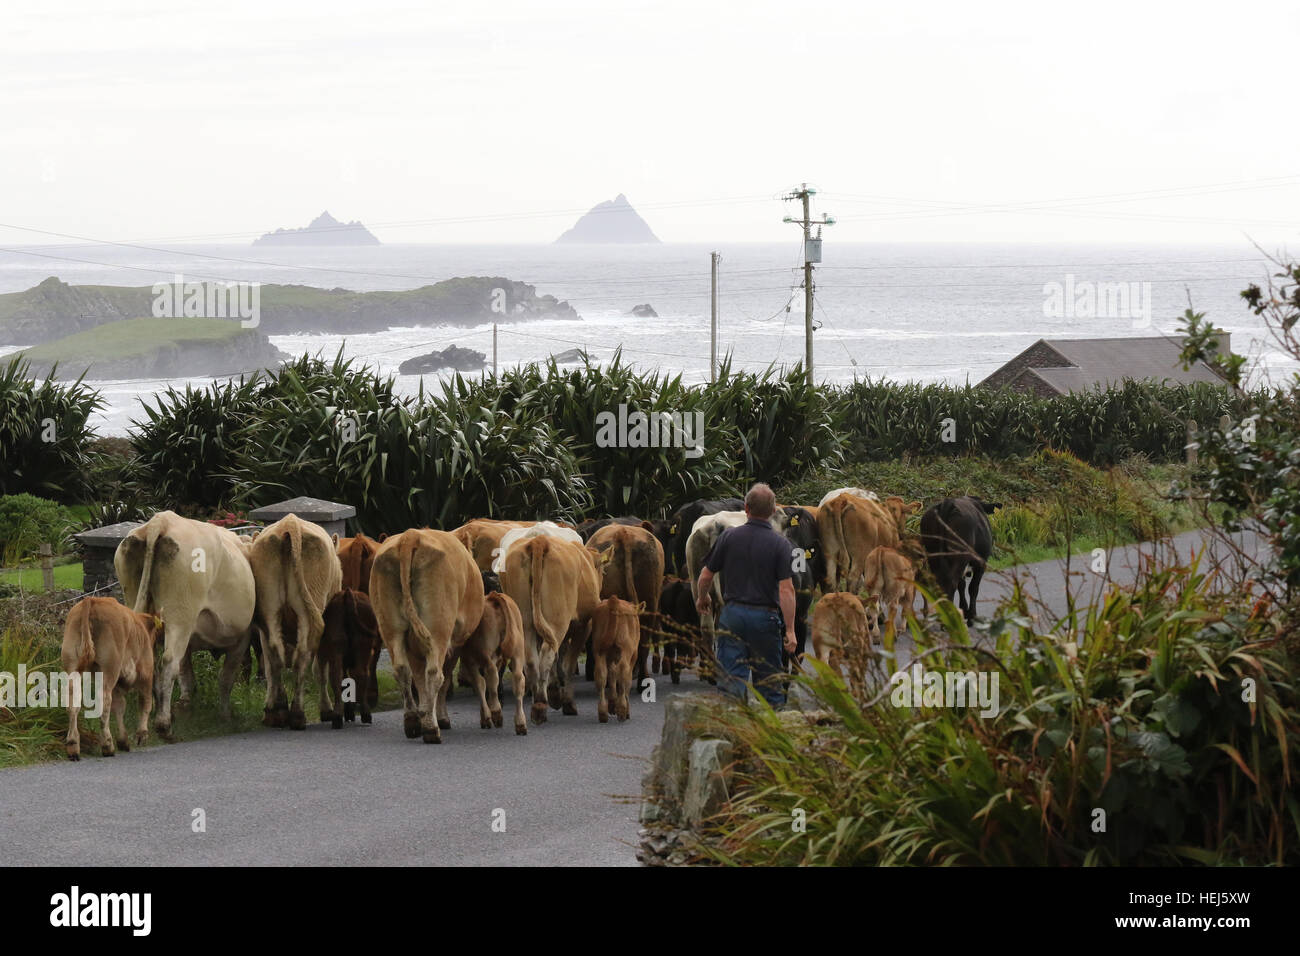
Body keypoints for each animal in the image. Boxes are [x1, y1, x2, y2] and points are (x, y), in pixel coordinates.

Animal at [61, 598, 163, 764]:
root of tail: (92, 600)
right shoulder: (146, 675)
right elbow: (145, 703)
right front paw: (141, 735)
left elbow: (120, 706)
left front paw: (123, 741)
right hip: (109, 669)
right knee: (104, 701)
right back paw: (107, 745)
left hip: (72, 665)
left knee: (73, 701)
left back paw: (73, 746)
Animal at [318, 587, 379, 728]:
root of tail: (348, 593)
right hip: (362, 647)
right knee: (360, 675)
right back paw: (364, 714)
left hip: (338, 649)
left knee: (337, 677)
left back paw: (337, 717)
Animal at [371, 530, 483, 738]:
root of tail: (410, 536)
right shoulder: (455, 643)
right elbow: (444, 679)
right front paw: (441, 718)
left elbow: (418, 677)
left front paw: (423, 712)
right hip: (439, 628)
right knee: (435, 674)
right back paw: (432, 729)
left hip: (391, 628)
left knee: (402, 670)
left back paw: (412, 721)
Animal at [449, 590, 525, 738]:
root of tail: (493, 596)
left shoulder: (470, 660)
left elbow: (480, 685)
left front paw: (485, 717)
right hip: (518, 651)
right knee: (518, 680)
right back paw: (520, 723)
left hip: (486, 653)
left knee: (491, 676)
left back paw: (496, 713)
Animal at [920, 496, 998, 624]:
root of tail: (947, 503)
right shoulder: (981, 563)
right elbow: (973, 588)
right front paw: (972, 616)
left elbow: (962, 585)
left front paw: (965, 610)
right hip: (959, 556)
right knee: (952, 583)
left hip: (933, 554)